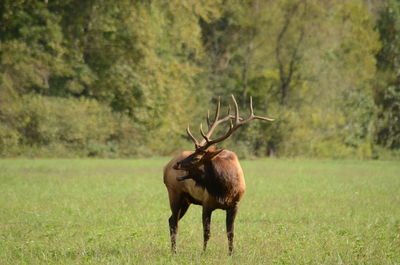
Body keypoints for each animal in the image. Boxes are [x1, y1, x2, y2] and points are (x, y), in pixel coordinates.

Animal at [162, 94, 272, 254]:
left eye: (196, 158)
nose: (177, 165)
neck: (225, 189)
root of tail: (165, 166)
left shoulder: (235, 205)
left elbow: (230, 232)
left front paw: (231, 254)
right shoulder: (206, 203)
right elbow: (207, 233)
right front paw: (203, 253)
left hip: (186, 200)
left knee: (171, 219)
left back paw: (174, 250)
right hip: (174, 193)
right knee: (174, 222)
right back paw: (174, 251)